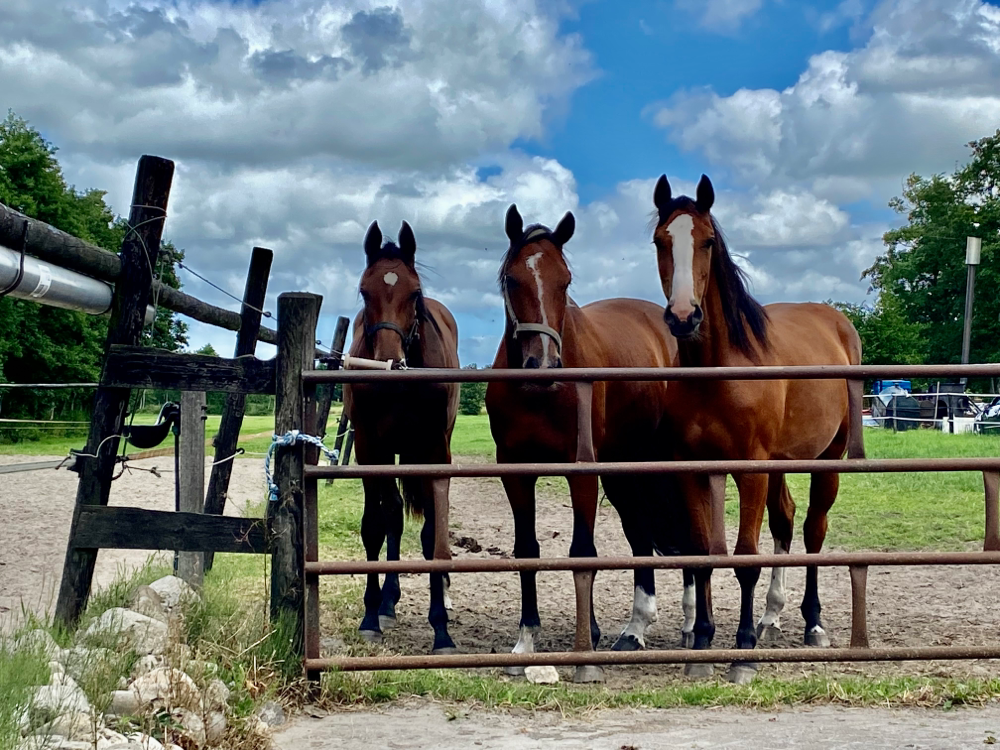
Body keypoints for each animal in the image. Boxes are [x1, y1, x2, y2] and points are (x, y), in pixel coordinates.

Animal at [342, 220, 461, 654]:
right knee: (392, 514)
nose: (387, 360)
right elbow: (375, 526)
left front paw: (441, 629)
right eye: (365, 291)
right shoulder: (369, 450)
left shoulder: (434, 451)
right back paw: (387, 602)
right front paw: (370, 616)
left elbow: (432, 536)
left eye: (414, 292)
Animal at [485, 204, 691, 683]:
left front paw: (585, 657)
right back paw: (634, 630)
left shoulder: (581, 471)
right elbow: (527, 550)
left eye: (565, 281)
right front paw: (526, 642)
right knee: (639, 533)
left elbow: (583, 552)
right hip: (623, 470)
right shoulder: (515, 472)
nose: (542, 364)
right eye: (512, 280)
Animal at [650, 174, 863, 683]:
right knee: (785, 520)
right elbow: (704, 552)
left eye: (707, 241)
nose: (683, 316)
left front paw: (742, 651)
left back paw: (812, 624)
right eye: (661, 241)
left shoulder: (749, 469)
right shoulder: (695, 468)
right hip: (780, 463)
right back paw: (770, 616)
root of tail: (838, 323)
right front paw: (702, 642)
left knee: (812, 530)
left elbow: (746, 557)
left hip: (827, 460)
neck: (717, 371)